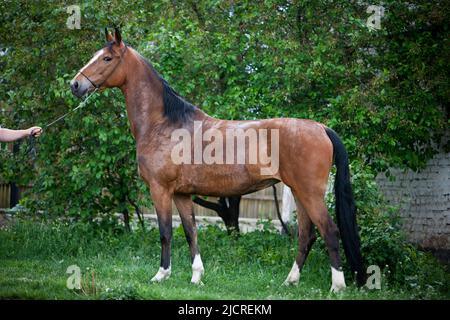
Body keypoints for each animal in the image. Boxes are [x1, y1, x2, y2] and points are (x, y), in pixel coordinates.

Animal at [71, 28, 366, 292]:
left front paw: (161, 275)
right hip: (300, 193)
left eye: (107, 58)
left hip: (310, 193)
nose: (75, 85)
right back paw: (290, 282)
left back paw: (337, 287)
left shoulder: (160, 189)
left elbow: (165, 232)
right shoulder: (182, 194)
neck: (164, 124)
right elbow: (190, 232)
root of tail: (321, 128)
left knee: (330, 232)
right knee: (307, 235)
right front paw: (196, 277)